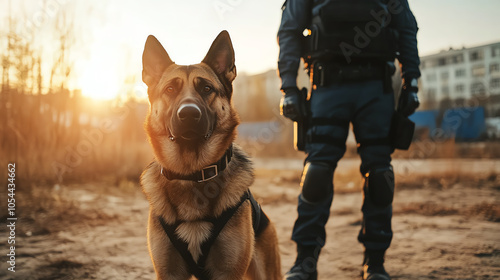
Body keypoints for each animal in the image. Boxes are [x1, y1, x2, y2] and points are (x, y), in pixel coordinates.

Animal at [141, 31, 282, 278]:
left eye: (206, 89)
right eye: (170, 89)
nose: (188, 114)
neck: (192, 174)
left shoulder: (228, 271)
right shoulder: (168, 272)